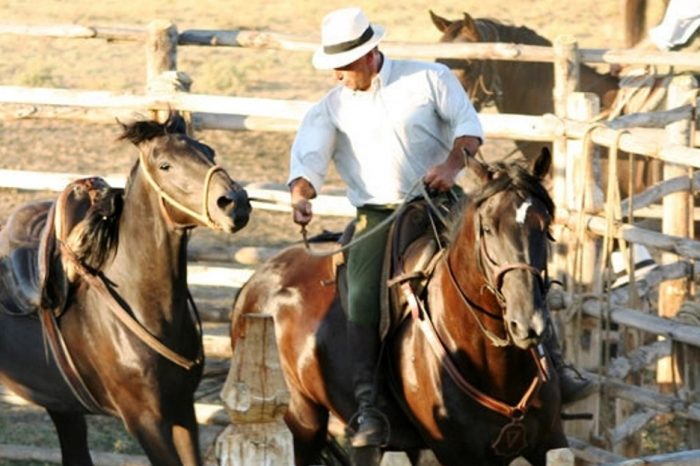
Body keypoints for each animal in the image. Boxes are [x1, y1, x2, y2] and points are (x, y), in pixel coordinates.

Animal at [0, 114, 252, 466]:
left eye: (209, 152)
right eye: (164, 165)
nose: (234, 203)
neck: (141, 305)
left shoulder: (183, 410)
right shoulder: (145, 421)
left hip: (60, 403)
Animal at [232, 150, 568, 466]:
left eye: (545, 226)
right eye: (487, 228)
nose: (528, 323)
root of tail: (255, 281)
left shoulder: (550, 442)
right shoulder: (459, 453)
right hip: (302, 419)